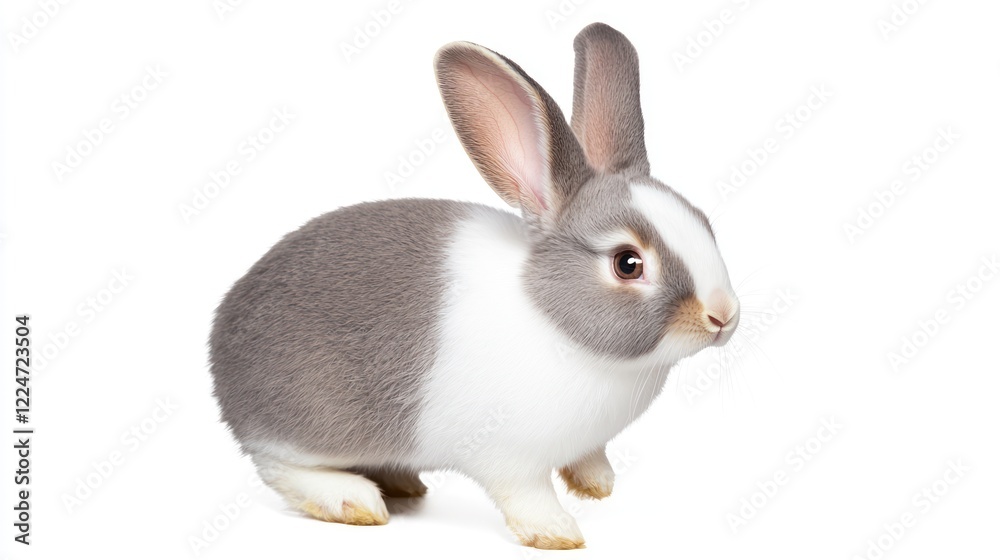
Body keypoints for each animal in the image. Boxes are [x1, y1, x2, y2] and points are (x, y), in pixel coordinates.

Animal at [209, 22, 740, 550]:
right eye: (627, 264)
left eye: (703, 223)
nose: (723, 316)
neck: (555, 322)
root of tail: (221, 340)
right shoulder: (510, 460)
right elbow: (525, 495)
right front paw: (556, 533)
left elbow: (589, 458)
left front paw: (598, 485)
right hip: (312, 421)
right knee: (277, 464)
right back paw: (354, 500)